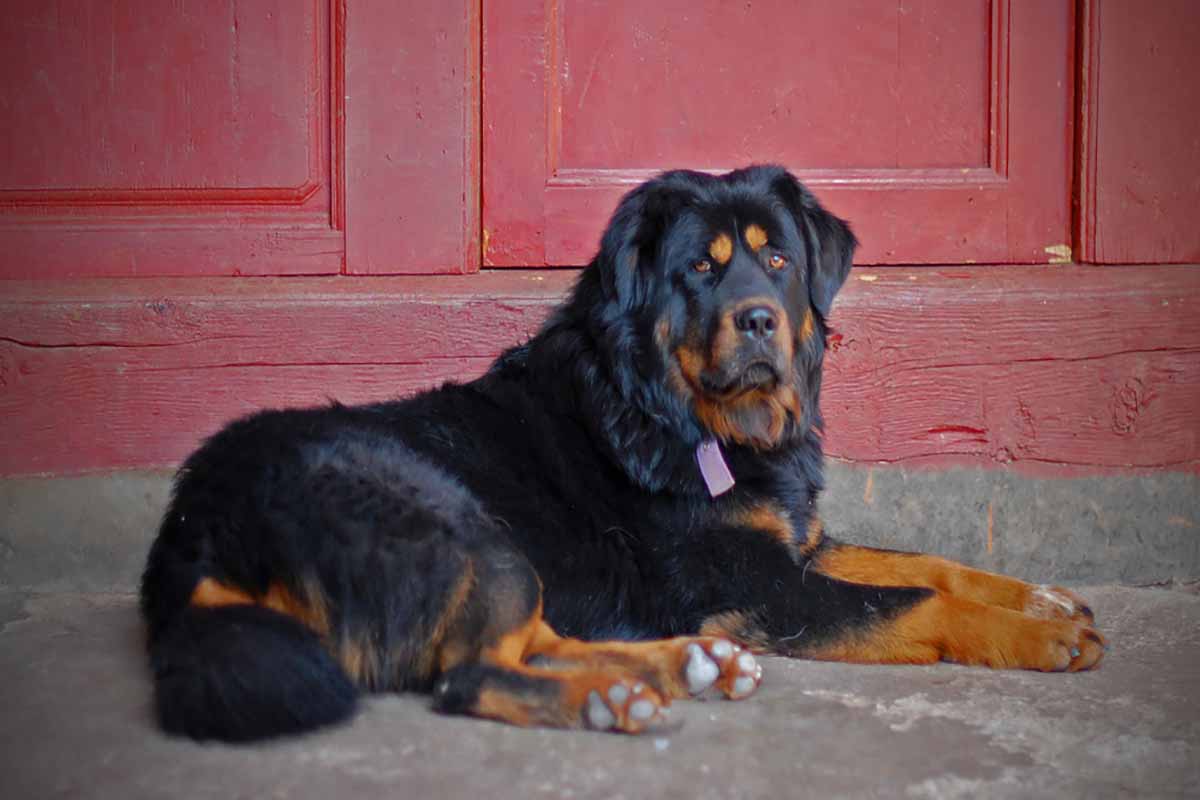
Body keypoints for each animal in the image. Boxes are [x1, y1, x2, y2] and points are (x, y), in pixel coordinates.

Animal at [142, 165, 1104, 743]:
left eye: (778, 260)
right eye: (702, 270)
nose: (759, 319)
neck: (692, 422)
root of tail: (193, 524)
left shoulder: (794, 543)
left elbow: (931, 564)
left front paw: (1044, 599)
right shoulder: (765, 585)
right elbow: (916, 600)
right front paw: (1038, 636)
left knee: (527, 640)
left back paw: (681, 666)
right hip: (461, 525)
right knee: (469, 673)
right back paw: (613, 698)